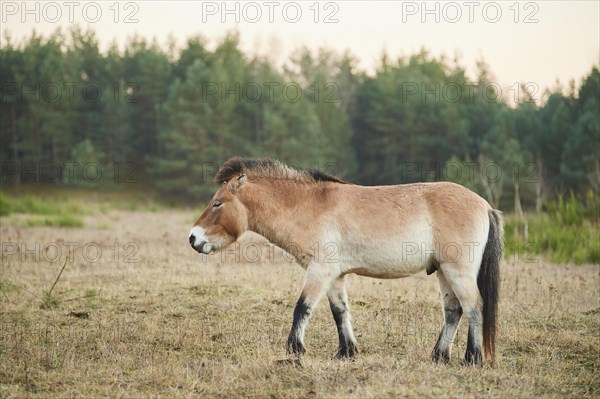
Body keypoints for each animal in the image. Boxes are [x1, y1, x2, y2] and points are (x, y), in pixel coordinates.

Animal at [190, 158, 504, 368]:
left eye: (217, 203)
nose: (193, 238)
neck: (310, 207)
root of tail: (485, 205)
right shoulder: (335, 276)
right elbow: (339, 312)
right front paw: (347, 352)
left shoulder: (320, 271)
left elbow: (302, 308)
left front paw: (295, 350)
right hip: (443, 272)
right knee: (453, 312)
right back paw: (438, 356)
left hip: (458, 271)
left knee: (473, 307)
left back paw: (472, 359)